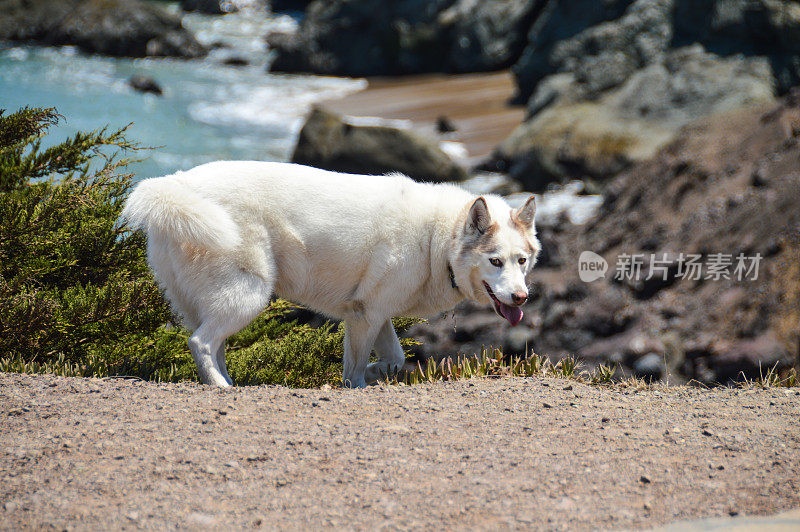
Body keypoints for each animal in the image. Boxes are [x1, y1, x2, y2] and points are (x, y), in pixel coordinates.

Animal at [122, 160, 540, 388]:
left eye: (521, 261)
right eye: (495, 262)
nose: (521, 299)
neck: (437, 237)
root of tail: (176, 183)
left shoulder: (373, 313)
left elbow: (395, 359)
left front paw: (376, 372)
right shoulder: (364, 317)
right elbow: (354, 370)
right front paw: (358, 381)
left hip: (217, 302)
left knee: (211, 343)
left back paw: (228, 382)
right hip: (248, 296)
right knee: (201, 343)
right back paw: (222, 387)